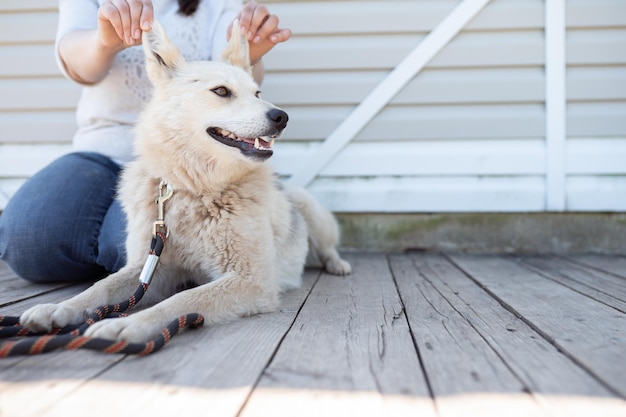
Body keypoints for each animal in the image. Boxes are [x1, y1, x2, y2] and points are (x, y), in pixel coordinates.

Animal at [19, 19, 348, 342]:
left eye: (257, 93)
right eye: (221, 91)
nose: (282, 117)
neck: (195, 189)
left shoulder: (251, 280)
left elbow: (181, 301)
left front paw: (131, 325)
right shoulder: (153, 266)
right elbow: (101, 286)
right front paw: (58, 308)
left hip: (313, 213)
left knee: (328, 247)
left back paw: (338, 265)